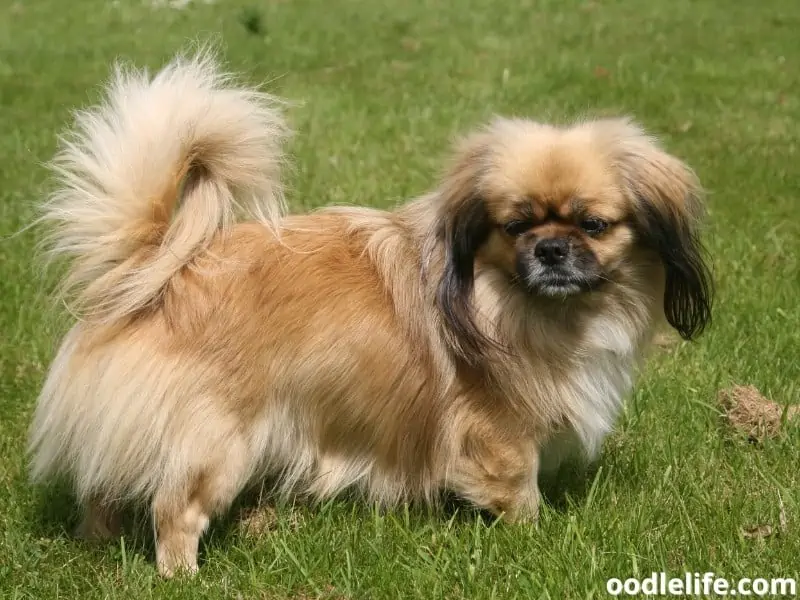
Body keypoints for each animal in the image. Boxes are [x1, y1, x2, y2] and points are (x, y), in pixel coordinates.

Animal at [26, 52, 712, 576]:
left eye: (593, 226)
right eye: (515, 225)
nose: (550, 249)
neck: (517, 302)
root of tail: (156, 271)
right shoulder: (500, 431)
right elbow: (520, 489)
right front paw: (534, 538)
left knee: (103, 490)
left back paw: (96, 540)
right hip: (214, 443)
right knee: (175, 512)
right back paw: (181, 575)